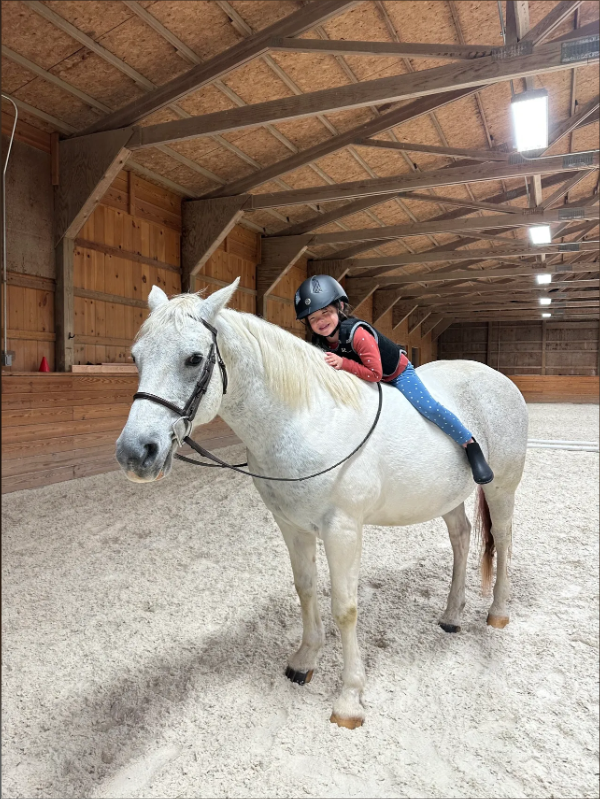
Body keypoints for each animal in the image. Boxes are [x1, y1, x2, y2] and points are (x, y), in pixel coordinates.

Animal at [116, 279, 528, 729]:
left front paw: (349, 699)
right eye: (136, 356)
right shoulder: (292, 526)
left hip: (502, 488)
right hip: (446, 497)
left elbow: (345, 607)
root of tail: (499, 379)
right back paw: (452, 615)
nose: (135, 453)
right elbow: (306, 589)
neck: (306, 421)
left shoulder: (342, 530)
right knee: (461, 537)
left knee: (504, 539)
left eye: (193, 359)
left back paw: (498, 612)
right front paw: (304, 661)